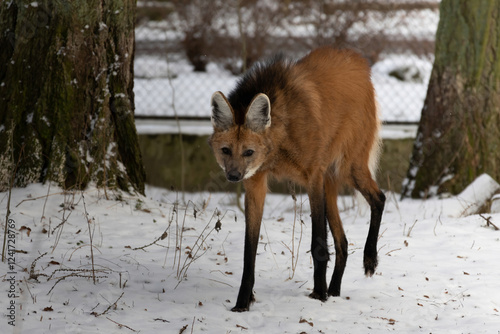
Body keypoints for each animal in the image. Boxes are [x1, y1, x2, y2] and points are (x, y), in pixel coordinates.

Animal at [207, 45, 386, 312]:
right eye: (226, 150)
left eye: (248, 152)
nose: (234, 176)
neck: (280, 141)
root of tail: (359, 61)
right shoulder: (256, 181)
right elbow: (249, 250)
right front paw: (242, 302)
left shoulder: (313, 176)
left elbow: (318, 243)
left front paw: (319, 295)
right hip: (330, 179)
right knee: (342, 241)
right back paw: (335, 289)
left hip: (348, 167)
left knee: (379, 198)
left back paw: (368, 261)